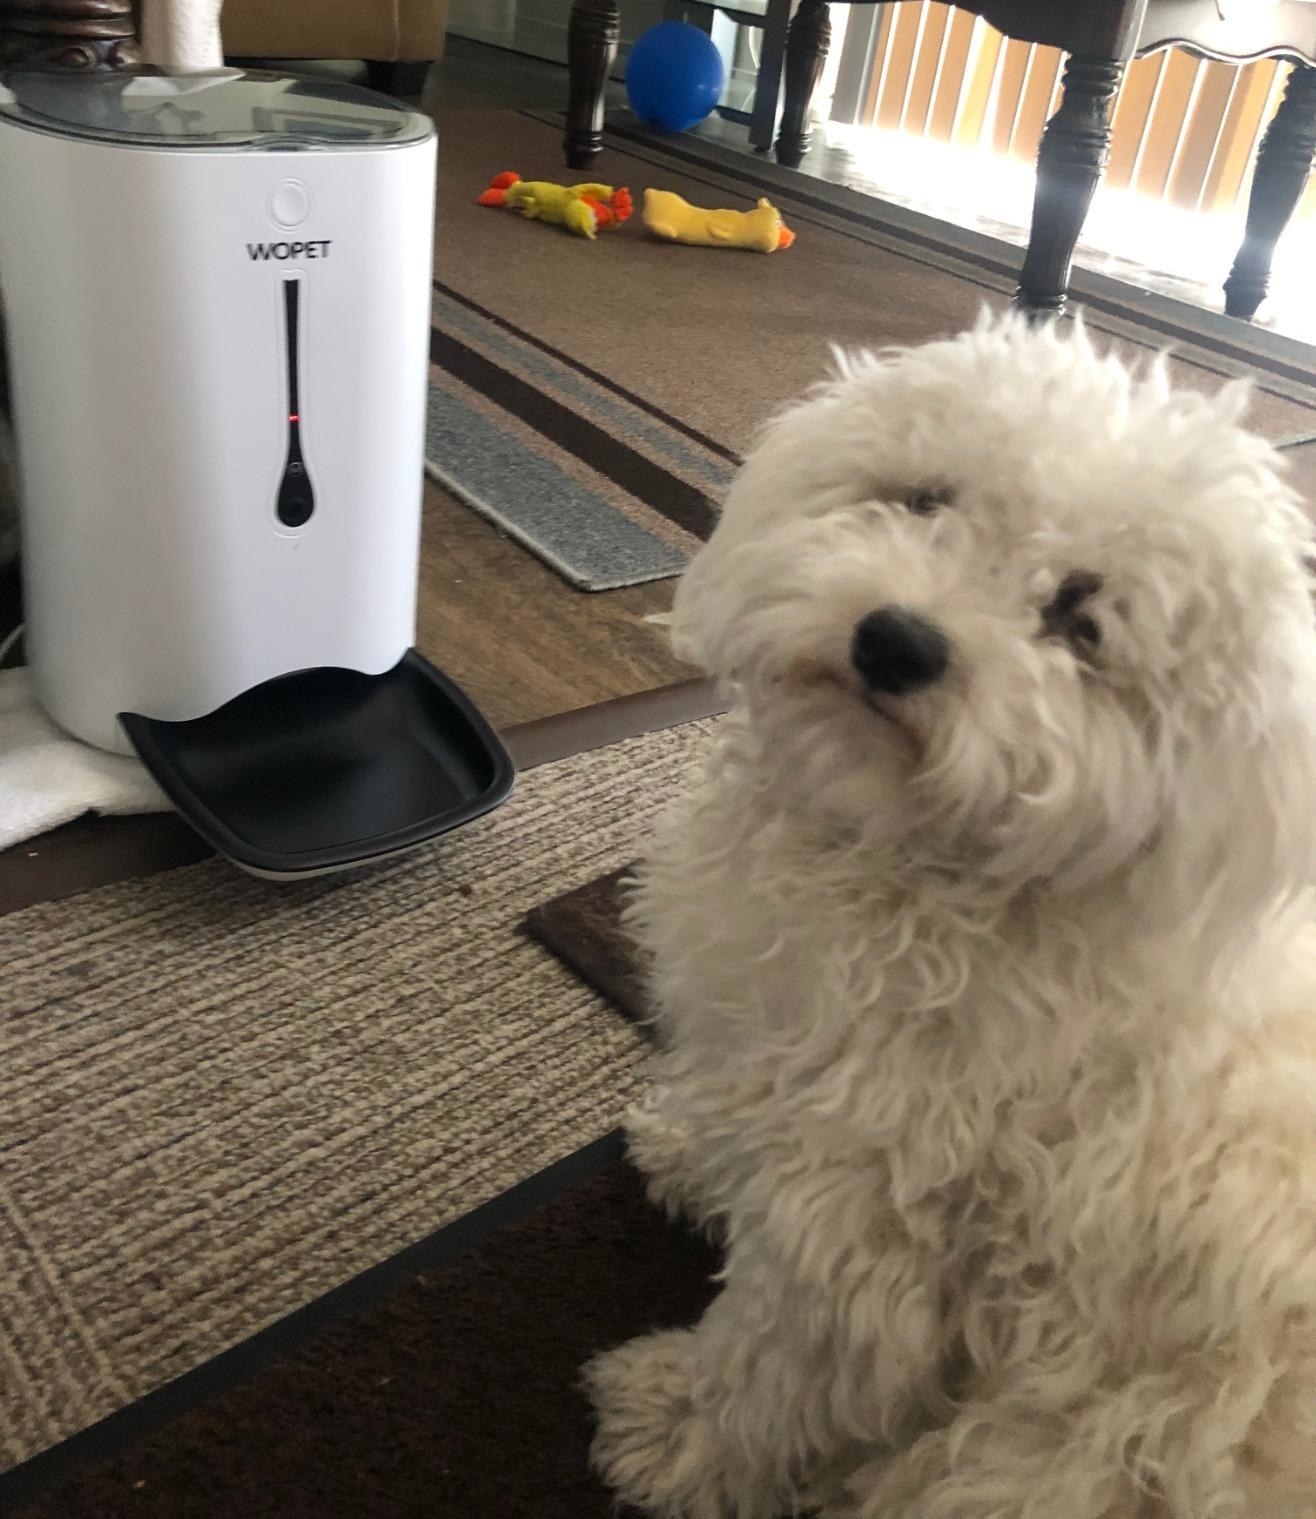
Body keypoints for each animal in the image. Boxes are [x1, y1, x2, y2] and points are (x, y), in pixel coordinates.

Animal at [589, 314, 1312, 1512]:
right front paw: (688, 1150)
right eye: (926, 500)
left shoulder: (862, 1223)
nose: (897, 641)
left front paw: (674, 1429)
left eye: (1079, 620)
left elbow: (772, 1363)